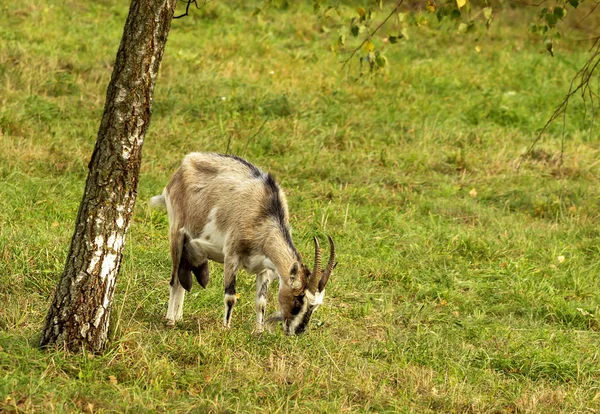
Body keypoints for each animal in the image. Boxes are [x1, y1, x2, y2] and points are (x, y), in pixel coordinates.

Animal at [149, 154, 338, 334]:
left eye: (315, 306)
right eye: (298, 300)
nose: (297, 331)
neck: (264, 213)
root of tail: (183, 166)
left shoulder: (264, 267)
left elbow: (261, 302)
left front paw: (258, 331)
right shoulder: (232, 257)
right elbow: (230, 297)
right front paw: (226, 329)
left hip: (190, 247)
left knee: (182, 282)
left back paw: (179, 318)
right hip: (177, 234)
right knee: (174, 280)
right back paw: (170, 320)